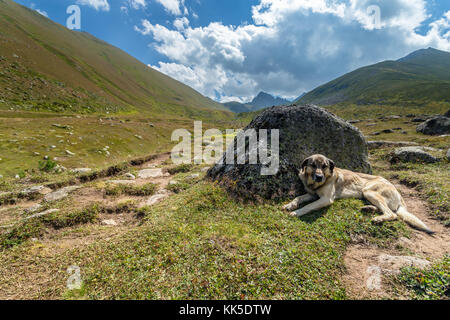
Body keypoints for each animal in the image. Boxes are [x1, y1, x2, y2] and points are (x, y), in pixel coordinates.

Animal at [284, 154, 434, 234]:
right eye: (313, 165)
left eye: (325, 166)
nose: (319, 177)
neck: (316, 184)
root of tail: (398, 191)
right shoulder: (312, 195)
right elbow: (298, 197)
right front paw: (290, 205)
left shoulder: (325, 199)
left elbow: (308, 206)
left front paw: (296, 212)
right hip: (367, 195)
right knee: (385, 209)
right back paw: (369, 208)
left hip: (368, 191)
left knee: (392, 214)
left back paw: (378, 218)